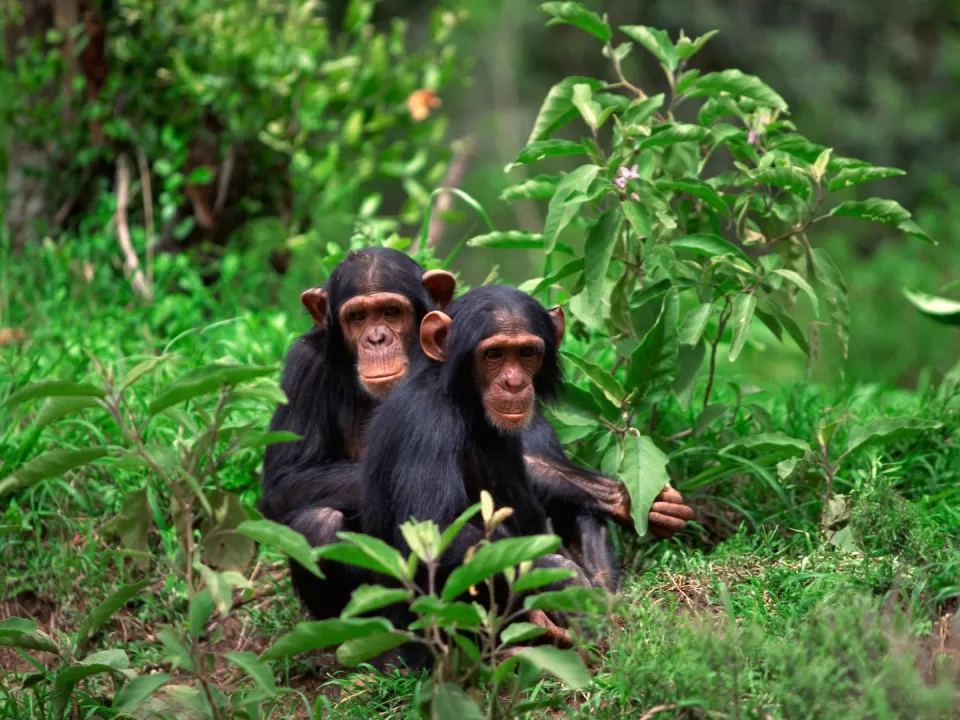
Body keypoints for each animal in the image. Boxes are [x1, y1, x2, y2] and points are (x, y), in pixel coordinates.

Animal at [260, 248, 456, 620]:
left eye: (391, 312)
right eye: (357, 317)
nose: (376, 338)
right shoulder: (303, 366)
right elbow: (286, 479)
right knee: (317, 524)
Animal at [360, 282, 616, 660]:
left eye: (526, 352)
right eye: (493, 354)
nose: (513, 383)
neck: (463, 400)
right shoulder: (427, 426)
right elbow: (433, 534)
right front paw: (566, 580)